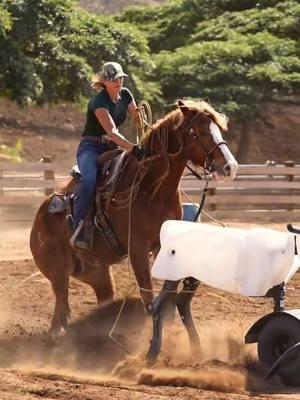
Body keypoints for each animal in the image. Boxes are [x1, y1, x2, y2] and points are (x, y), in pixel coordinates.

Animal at [29, 99, 237, 332]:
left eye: (218, 129)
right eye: (201, 131)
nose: (231, 167)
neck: (151, 188)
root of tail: (41, 214)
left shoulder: (162, 245)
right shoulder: (137, 247)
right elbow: (148, 294)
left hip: (97, 272)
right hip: (57, 271)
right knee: (61, 309)